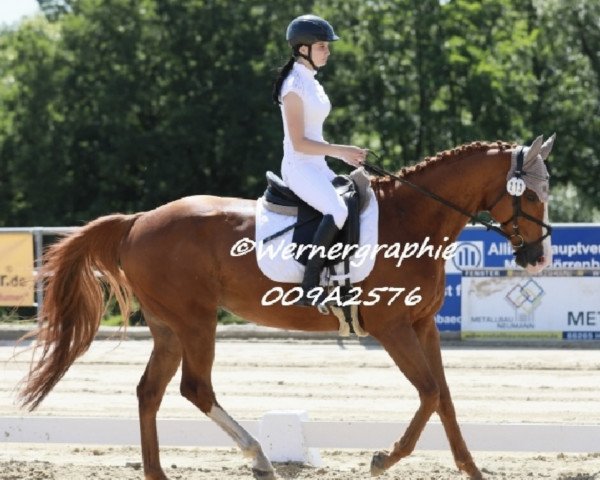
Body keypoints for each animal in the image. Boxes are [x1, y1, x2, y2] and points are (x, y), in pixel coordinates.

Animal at [18, 134, 552, 480]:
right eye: (530, 195)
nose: (538, 257)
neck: (412, 216)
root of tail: (139, 219)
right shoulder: (393, 328)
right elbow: (428, 393)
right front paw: (383, 459)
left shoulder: (424, 326)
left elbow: (443, 396)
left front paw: (471, 468)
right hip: (195, 321)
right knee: (195, 388)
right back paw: (259, 458)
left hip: (169, 326)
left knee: (150, 391)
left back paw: (162, 473)